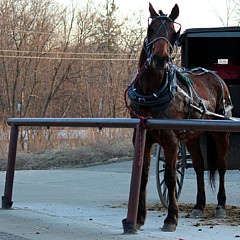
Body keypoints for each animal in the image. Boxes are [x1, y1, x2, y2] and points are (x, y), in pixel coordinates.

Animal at [126, 2, 233, 232]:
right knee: (200, 165)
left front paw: (171, 219)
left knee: (221, 165)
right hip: (192, 136)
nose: (160, 59)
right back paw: (199, 206)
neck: (152, 92)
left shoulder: (171, 140)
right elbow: (144, 176)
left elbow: (170, 176)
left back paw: (220, 205)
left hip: (221, 133)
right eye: (150, 30)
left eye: (173, 32)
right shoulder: (143, 137)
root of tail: (216, 76)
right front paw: (138, 218)